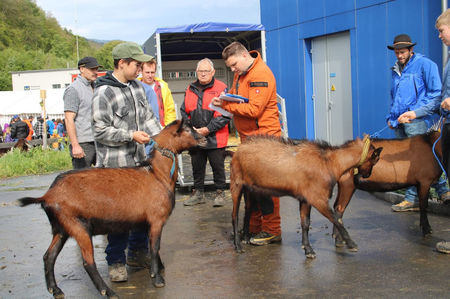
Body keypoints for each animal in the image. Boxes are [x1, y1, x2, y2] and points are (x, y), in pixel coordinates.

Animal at [18, 120, 207, 299]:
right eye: (187, 129)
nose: (204, 138)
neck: (157, 175)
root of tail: (48, 196)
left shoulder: (147, 223)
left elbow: (153, 247)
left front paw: (158, 268)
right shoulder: (156, 220)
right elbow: (154, 247)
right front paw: (157, 279)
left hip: (61, 227)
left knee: (48, 256)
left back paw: (55, 290)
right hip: (78, 226)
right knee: (88, 263)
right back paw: (108, 292)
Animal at [230, 136, 382, 260]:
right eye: (375, 159)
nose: (367, 175)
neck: (329, 163)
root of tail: (238, 149)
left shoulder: (305, 199)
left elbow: (305, 224)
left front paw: (308, 250)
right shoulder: (317, 198)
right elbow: (335, 219)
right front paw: (352, 244)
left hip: (250, 188)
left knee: (248, 210)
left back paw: (245, 238)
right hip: (236, 184)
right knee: (234, 215)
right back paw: (238, 246)